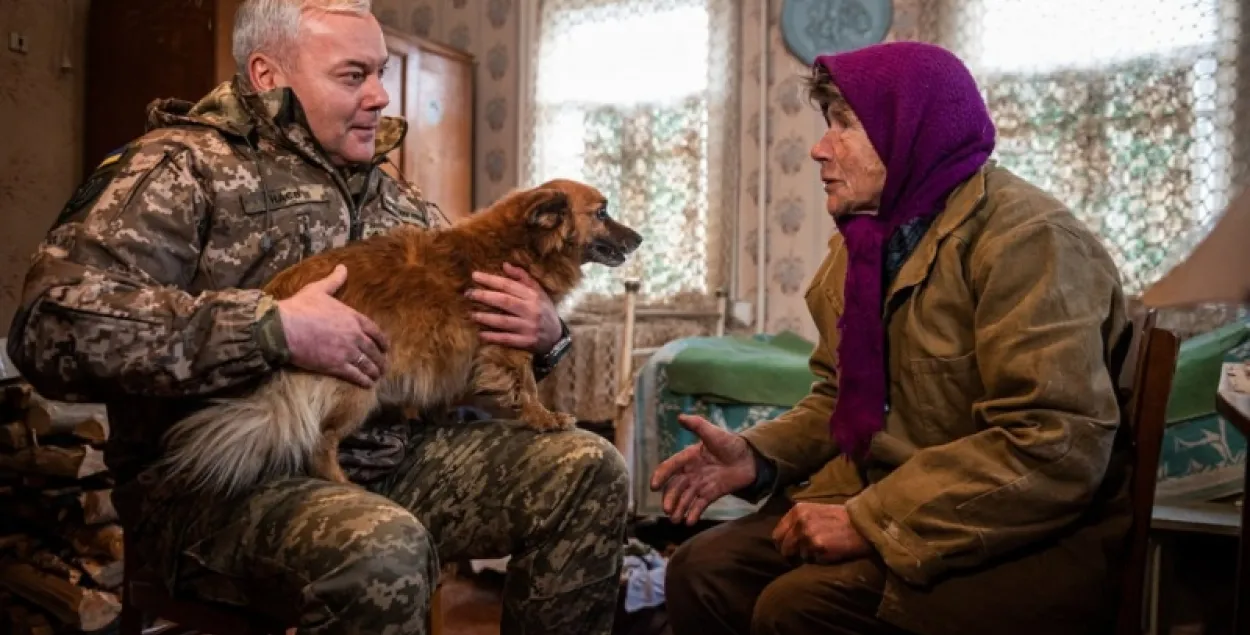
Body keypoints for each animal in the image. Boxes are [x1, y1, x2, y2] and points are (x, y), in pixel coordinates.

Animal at [157, 177, 645, 495]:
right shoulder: (506, 343)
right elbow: (523, 385)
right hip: (357, 381)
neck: (519, 246)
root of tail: (279, 298)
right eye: (602, 212)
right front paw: (543, 418)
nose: (640, 238)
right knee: (319, 444)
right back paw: (346, 485)